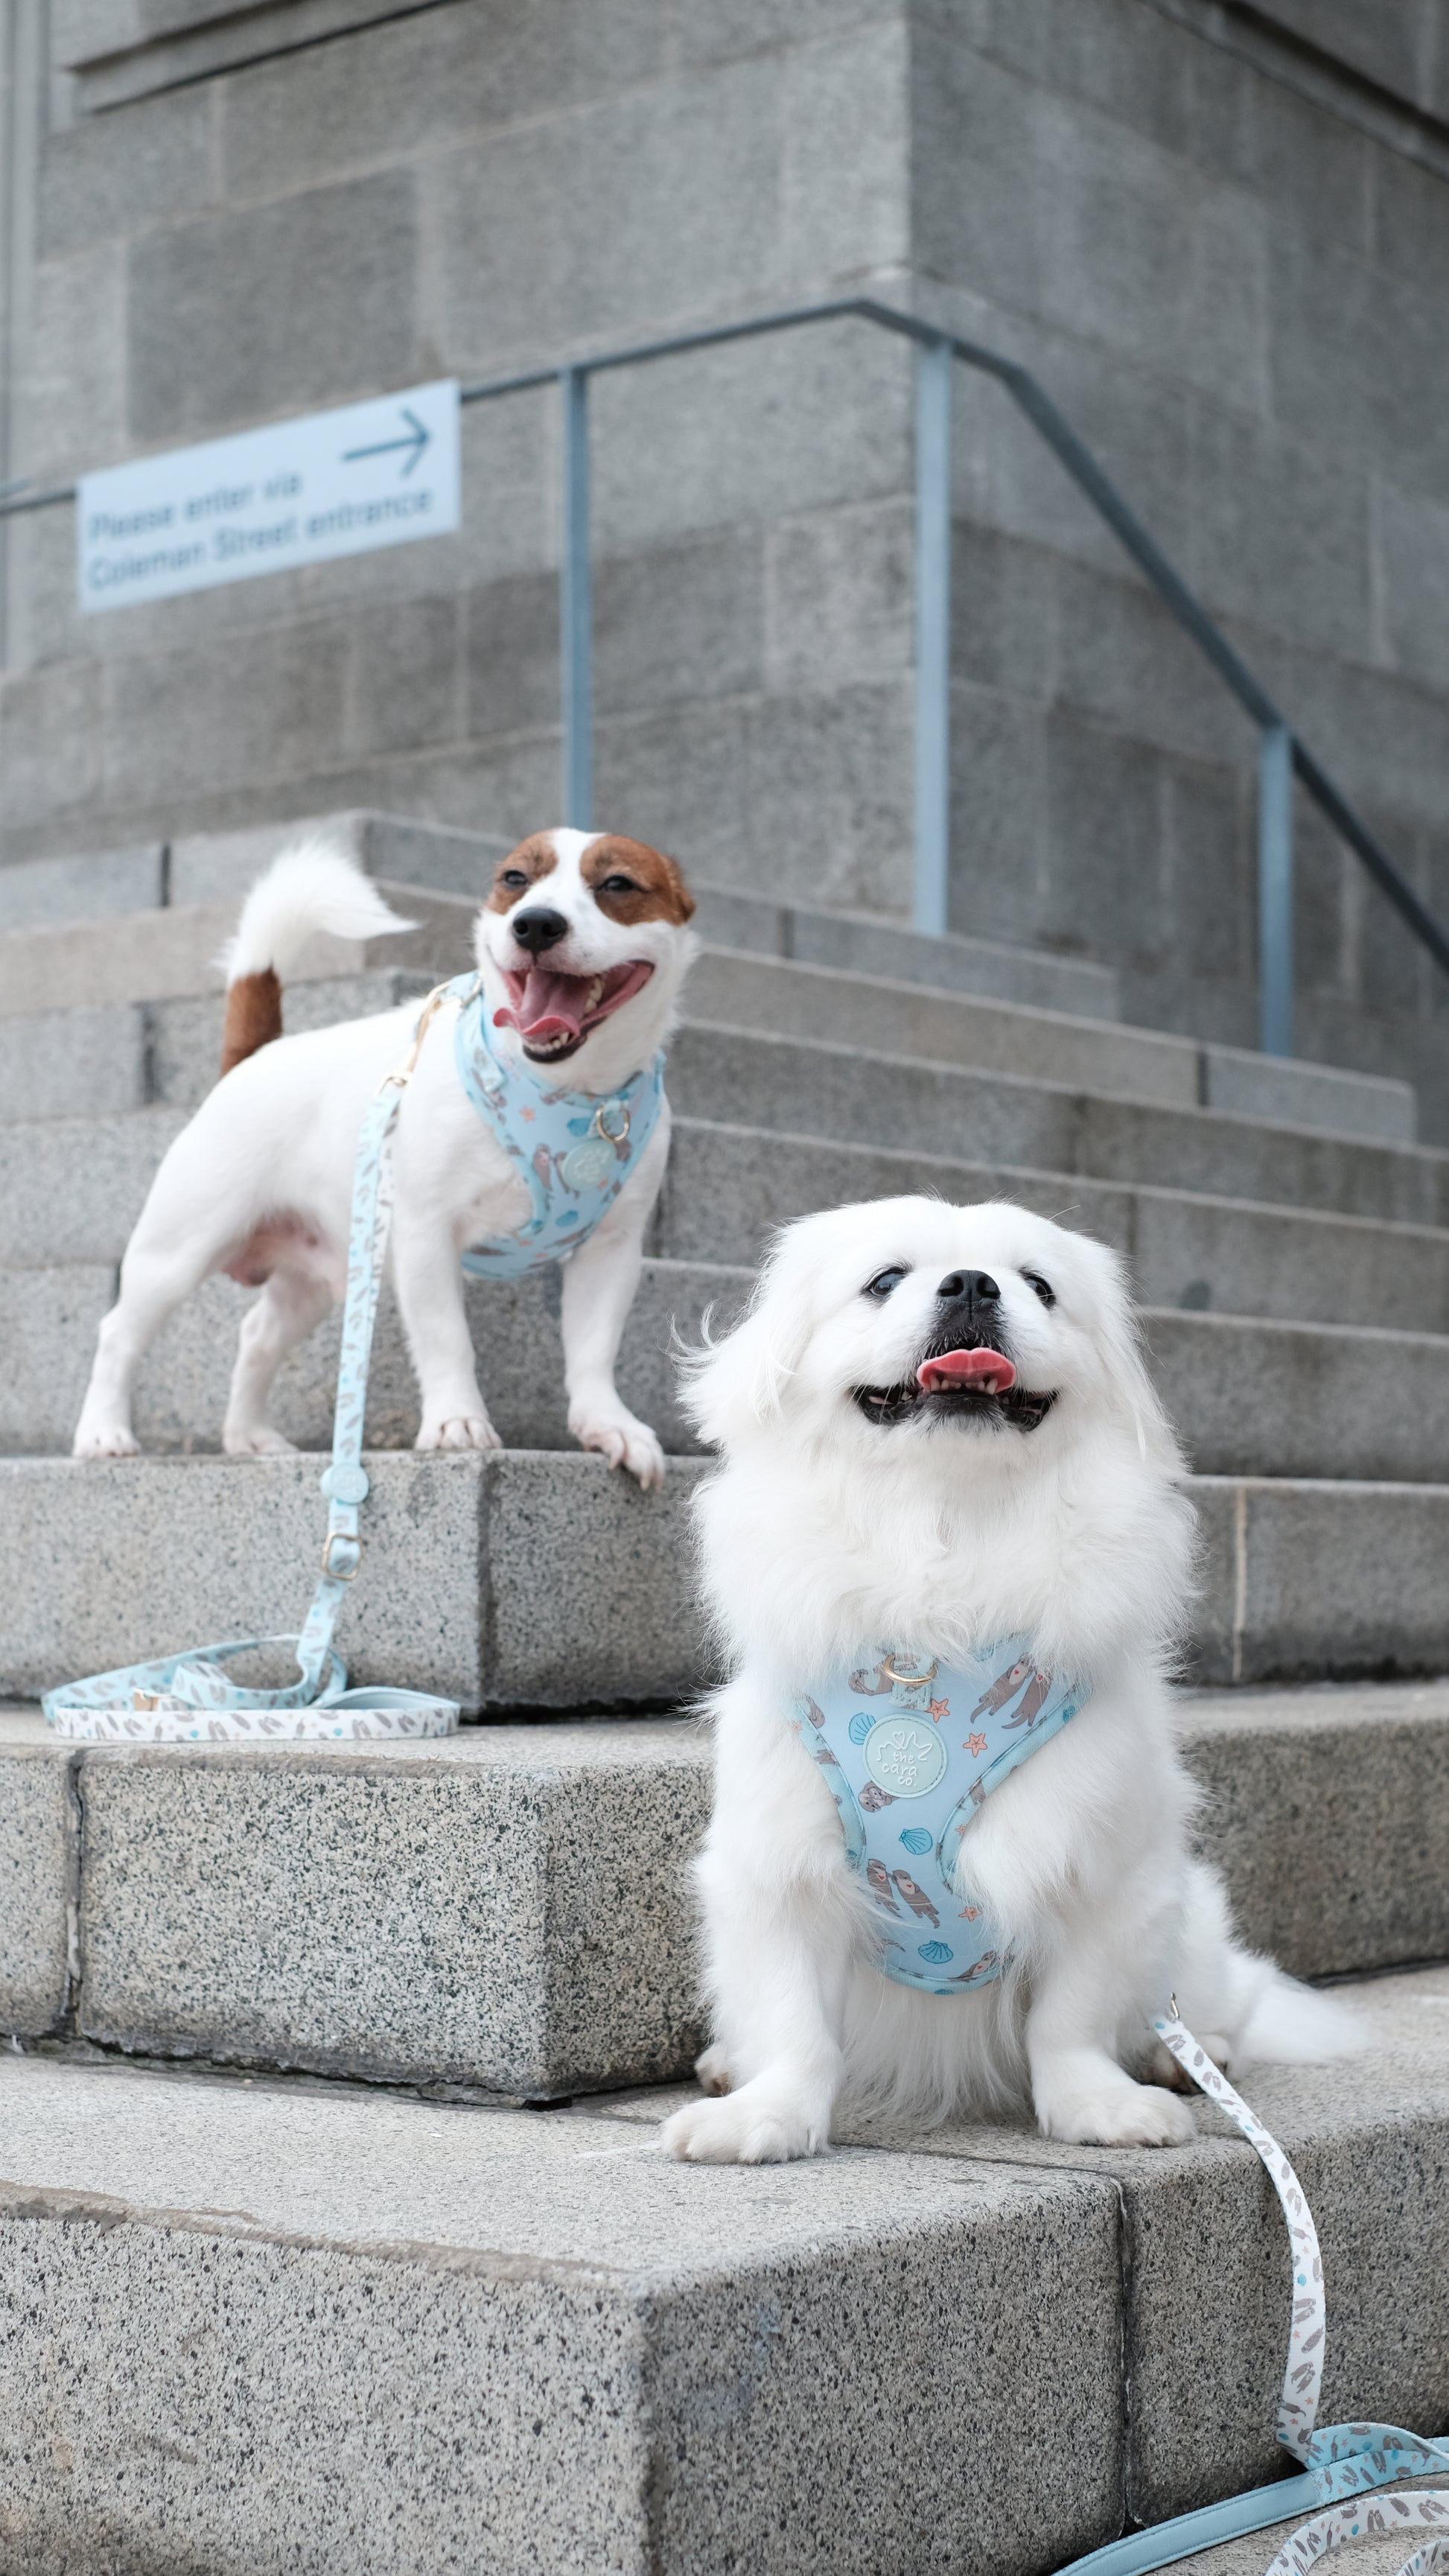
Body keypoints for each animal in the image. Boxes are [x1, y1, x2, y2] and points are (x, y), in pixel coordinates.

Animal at [72, 824, 695, 1494]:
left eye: (617, 884)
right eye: (514, 880)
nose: (535, 924)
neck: (567, 1092)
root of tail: (254, 1056)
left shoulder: (611, 1250)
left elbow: (593, 1349)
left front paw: (608, 1423)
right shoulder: (425, 1233)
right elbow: (448, 1339)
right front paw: (456, 1421)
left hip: (316, 1276)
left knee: (257, 1336)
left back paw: (249, 1436)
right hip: (177, 1251)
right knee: (119, 1334)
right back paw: (103, 1432)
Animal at [669, 1195, 1359, 2163]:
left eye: (1037, 1285)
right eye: (885, 1280)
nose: (969, 1284)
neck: (949, 1542)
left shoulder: (1102, 1867)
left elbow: (1068, 2021)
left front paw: (1097, 2108)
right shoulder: (780, 1867)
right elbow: (796, 2022)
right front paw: (768, 2116)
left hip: (1189, 1927)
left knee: (1210, 2005)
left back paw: (1184, 2058)